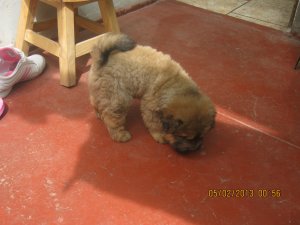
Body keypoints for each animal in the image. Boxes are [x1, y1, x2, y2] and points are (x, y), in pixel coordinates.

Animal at [87, 32, 216, 154]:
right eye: (184, 137)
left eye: (201, 136)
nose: (195, 148)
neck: (176, 86)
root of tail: (100, 60)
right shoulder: (151, 106)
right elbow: (155, 123)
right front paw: (160, 136)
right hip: (118, 97)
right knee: (112, 118)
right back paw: (120, 135)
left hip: (104, 91)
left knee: (96, 101)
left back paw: (99, 114)